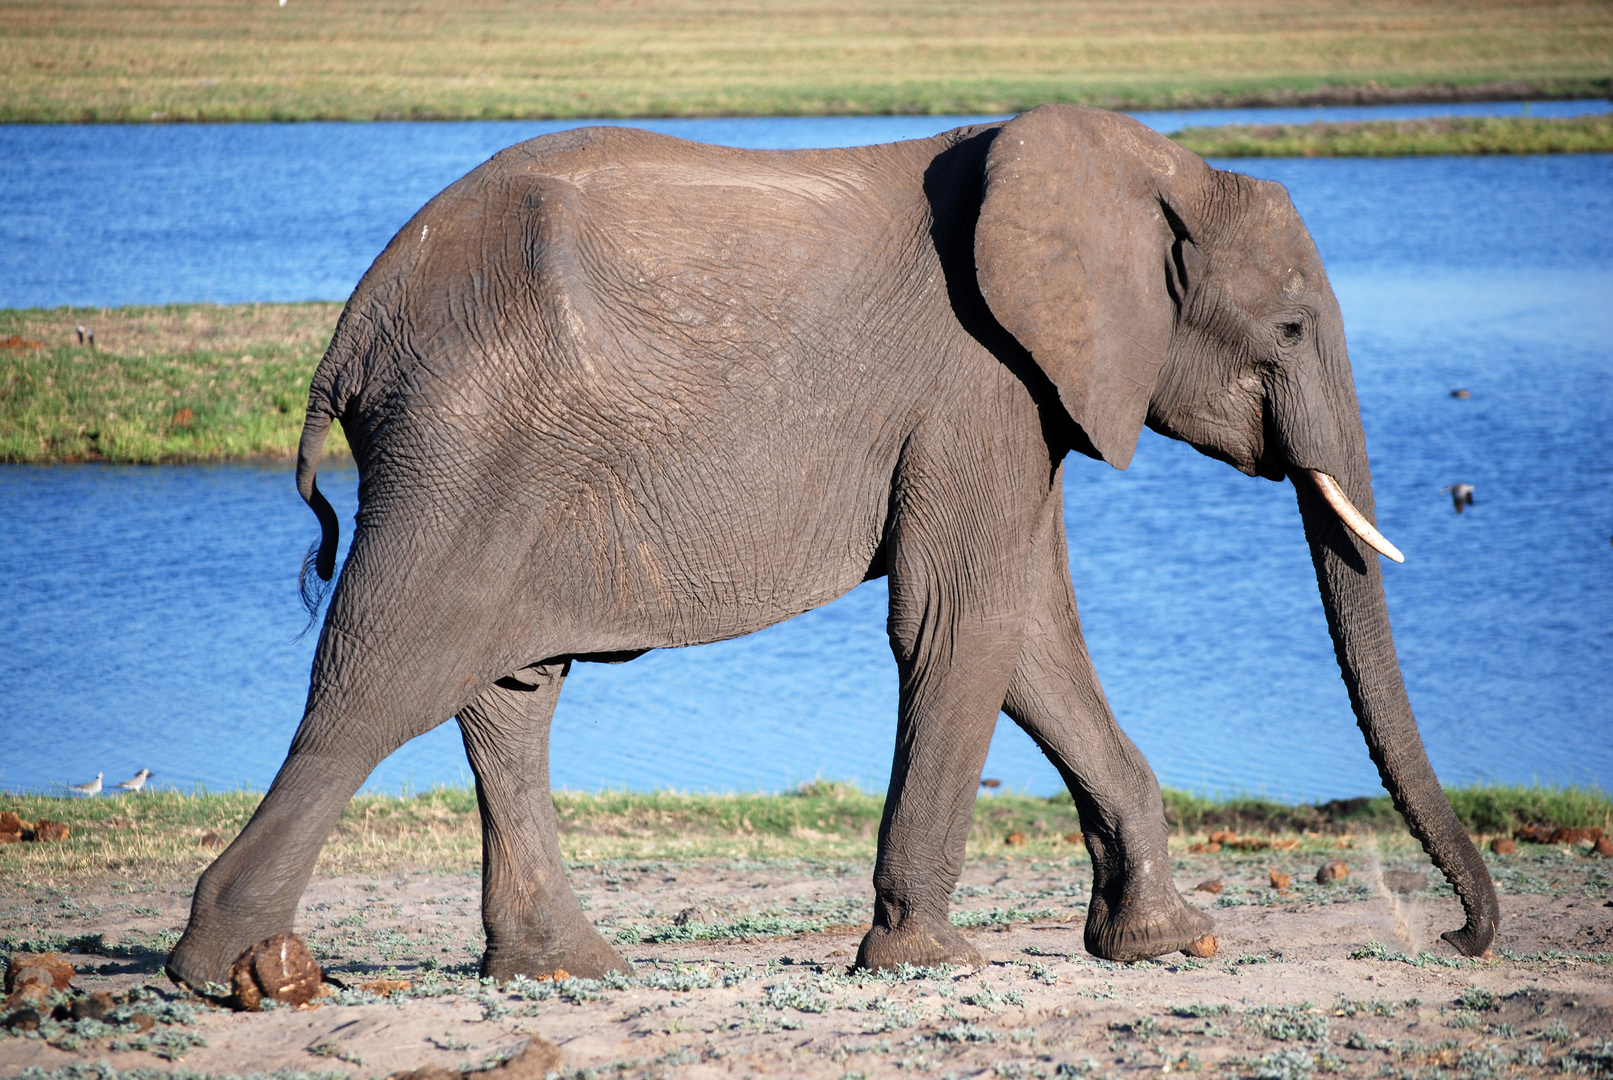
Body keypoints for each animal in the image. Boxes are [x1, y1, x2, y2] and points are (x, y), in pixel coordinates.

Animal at [163, 105, 1496, 992]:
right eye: (1289, 328)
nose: (1455, 938)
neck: (1151, 165)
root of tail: (352, 325)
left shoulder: (1023, 395)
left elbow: (1028, 632)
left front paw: (1162, 944)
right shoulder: (974, 381)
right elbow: (958, 622)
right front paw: (925, 958)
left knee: (506, 692)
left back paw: (564, 971)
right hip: (463, 437)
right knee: (384, 675)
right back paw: (237, 974)